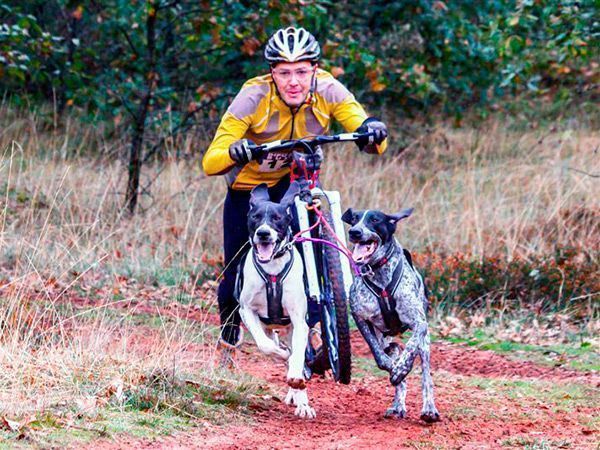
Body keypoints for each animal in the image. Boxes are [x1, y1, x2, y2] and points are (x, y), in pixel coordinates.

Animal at [237, 182, 316, 418]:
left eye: (278, 218)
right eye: (255, 216)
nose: (263, 233)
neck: (272, 268)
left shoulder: (299, 321)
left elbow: (297, 358)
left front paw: (297, 381)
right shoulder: (246, 310)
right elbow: (266, 347)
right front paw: (281, 355)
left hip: (293, 329)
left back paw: (302, 402)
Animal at [342, 207, 440, 422]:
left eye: (375, 220)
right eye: (354, 219)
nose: (354, 232)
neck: (379, 274)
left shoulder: (419, 323)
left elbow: (410, 348)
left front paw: (402, 367)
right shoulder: (360, 318)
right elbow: (379, 356)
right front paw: (393, 368)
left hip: (425, 344)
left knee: (426, 375)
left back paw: (429, 408)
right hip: (385, 338)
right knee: (392, 351)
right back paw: (398, 404)